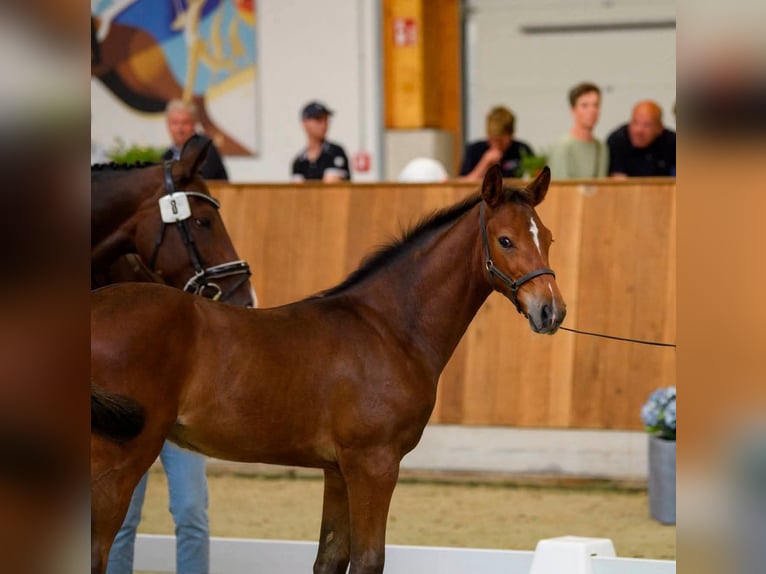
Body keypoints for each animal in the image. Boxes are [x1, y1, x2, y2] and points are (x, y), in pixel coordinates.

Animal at [90, 165, 566, 574]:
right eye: (505, 240)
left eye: (548, 238)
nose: (551, 311)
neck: (389, 326)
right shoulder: (374, 464)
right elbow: (369, 560)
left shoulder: (338, 470)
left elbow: (331, 558)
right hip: (120, 460)